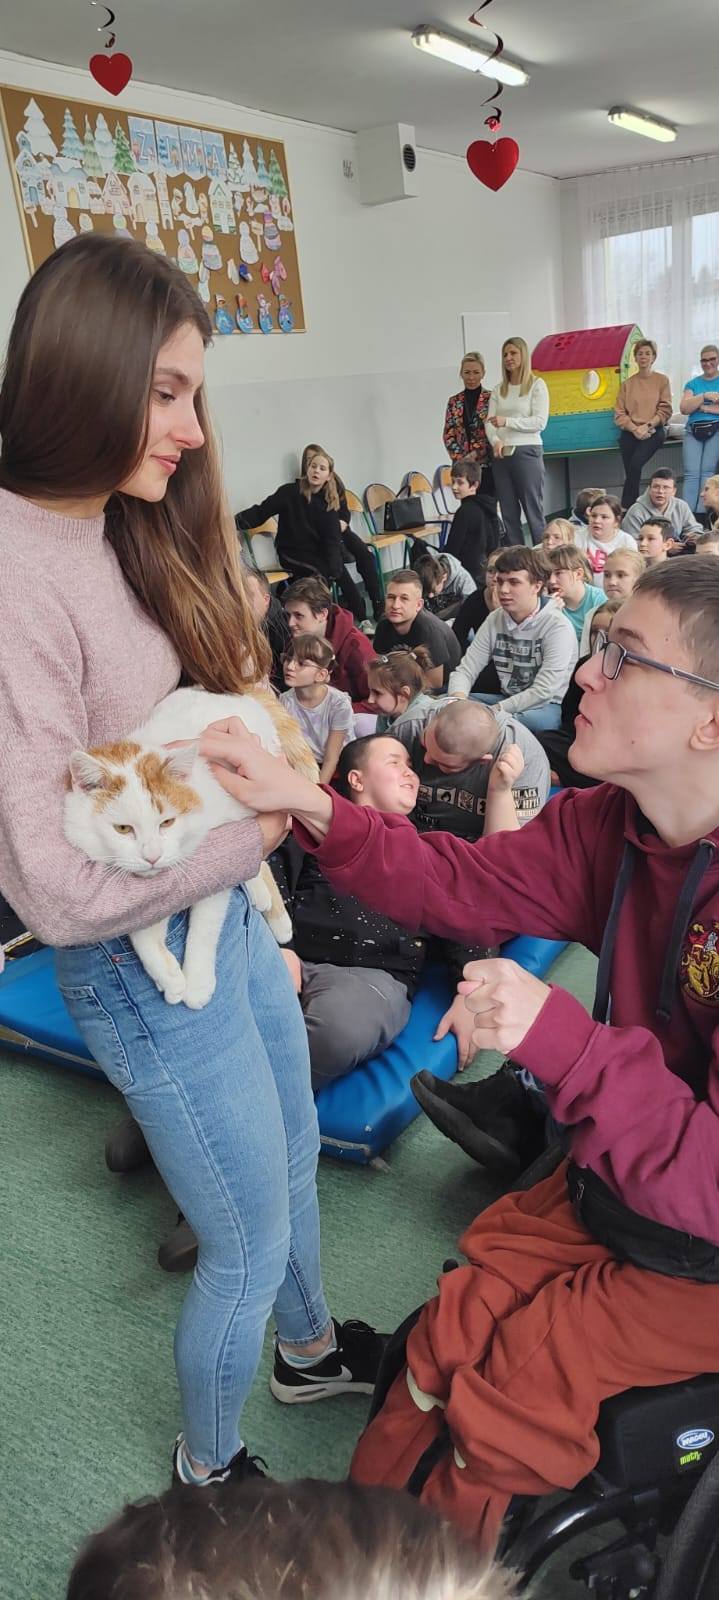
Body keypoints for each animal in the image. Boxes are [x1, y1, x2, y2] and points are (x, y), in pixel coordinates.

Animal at [64, 686, 318, 1009]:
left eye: (167, 822)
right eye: (123, 829)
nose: (152, 856)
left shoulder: (215, 860)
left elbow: (205, 926)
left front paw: (197, 982)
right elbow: (143, 923)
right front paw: (168, 975)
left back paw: (278, 917)